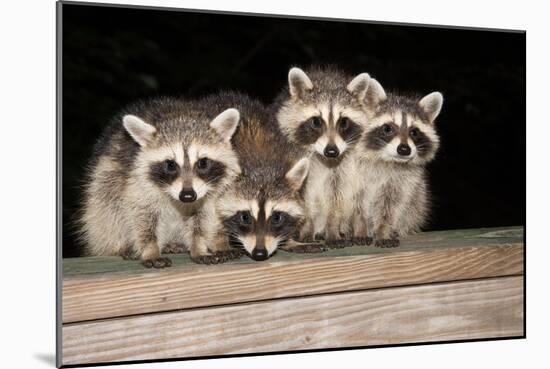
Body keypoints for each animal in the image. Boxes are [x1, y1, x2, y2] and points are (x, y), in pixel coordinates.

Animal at [78, 96, 243, 266]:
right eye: (170, 164)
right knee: (108, 210)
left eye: (202, 163)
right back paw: (120, 245)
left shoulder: (208, 194)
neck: (180, 115)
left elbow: (202, 220)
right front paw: (150, 249)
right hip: (104, 180)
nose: (187, 195)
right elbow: (142, 216)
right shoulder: (136, 183)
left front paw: (198, 246)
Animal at [207, 91, 312, 258]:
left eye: (276, 217)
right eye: (245, 217)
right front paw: (221, 242)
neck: (261, 163)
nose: (260, 253)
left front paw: (289, 240)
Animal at [276, 66, 376, 246]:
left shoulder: (343, 168)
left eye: (343, 122)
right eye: (316, 121)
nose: (331, 151)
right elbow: (305, 199)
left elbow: (336, 197)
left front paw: (333, 229)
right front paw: (307, 229)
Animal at [354, 78, 444, 246]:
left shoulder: (401, 182)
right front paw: (360, 228)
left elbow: (391, 207)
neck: (387, 160)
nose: (404, 149)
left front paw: (383, 230)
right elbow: (356, 204)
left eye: (414, 132)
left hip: (418, 199)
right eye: (388, 128)